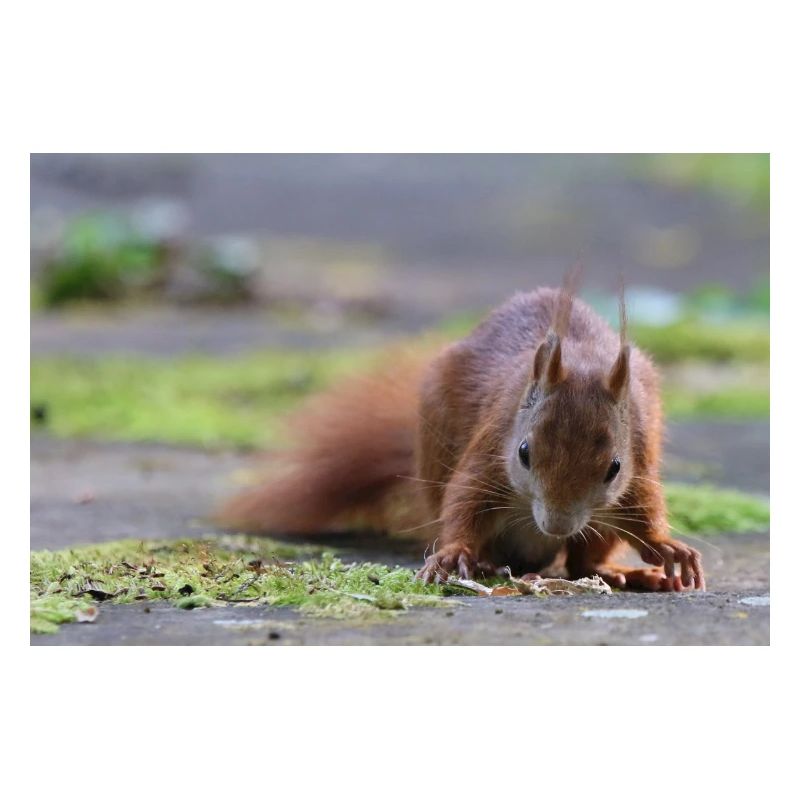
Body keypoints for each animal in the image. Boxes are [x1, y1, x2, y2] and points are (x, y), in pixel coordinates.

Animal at [220, 278, 705, 592]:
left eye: (614, 468)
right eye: (524, 452)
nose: (557, 524)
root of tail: (535, 550)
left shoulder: (638, 458)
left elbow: (643, 508)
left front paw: (666, 548)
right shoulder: (490, 450)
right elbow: (464, 501)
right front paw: (454, 553)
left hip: (598, 523)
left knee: (585, 559)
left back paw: (621, 573)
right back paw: (489, 562)